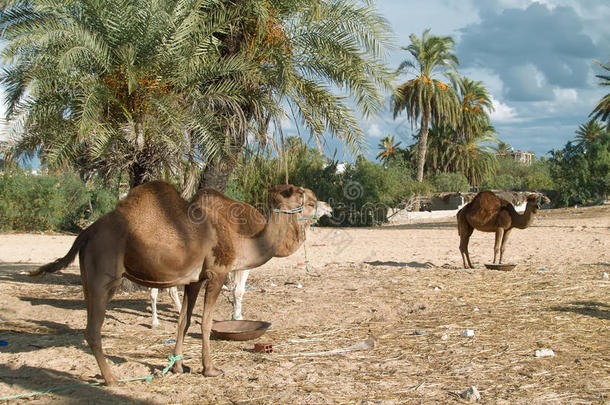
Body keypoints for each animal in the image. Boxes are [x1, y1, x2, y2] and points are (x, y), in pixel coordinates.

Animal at [29, 181, 330, 386]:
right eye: (292, 192)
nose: (319, 199)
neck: (241, 241)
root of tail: (86, 233)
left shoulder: (194, 280)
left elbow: (184, 320)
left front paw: (177, 366)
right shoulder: (217, 274)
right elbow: (205, 322)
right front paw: (210, 369)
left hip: (87, 277)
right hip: (104, 276)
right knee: (93, 330)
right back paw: (112, 379)